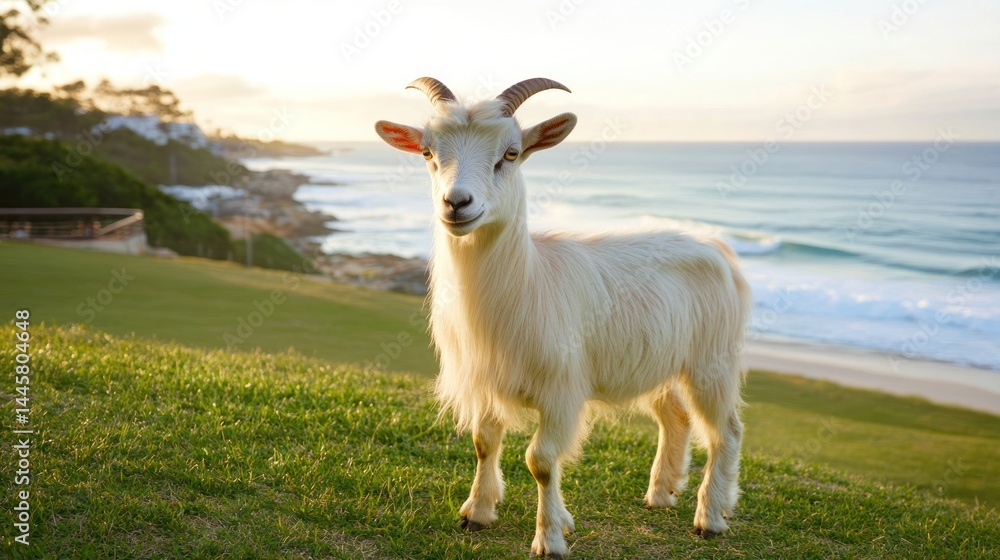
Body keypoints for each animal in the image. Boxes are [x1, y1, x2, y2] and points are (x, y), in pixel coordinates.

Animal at [375, 77, 752, 558]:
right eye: (427, 153)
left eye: (510, 153)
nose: (456, 203)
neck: (529, 279)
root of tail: (716, 246)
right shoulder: (488, 379)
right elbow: (484, 443)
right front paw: (477, 512)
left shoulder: (561, 390)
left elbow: (541, 460)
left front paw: (550, 537)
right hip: (656, 362)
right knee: (676, 418)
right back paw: (660, 494)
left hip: (712, 361)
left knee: (727, 431)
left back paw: (711, 517)